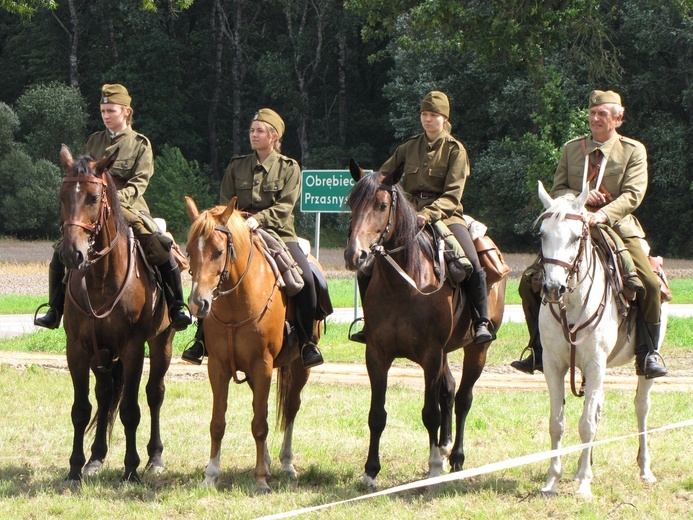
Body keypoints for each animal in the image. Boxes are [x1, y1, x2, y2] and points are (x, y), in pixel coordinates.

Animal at [58, 144, 174, 482]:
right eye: (62, 195)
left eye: (94, 197)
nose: (71, 253)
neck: (101, 278)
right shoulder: (78, 348)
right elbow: (82, 408)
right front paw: (75, 468)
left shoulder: (133, 347)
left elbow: (131, 410)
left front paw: (131, 469)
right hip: (104, 354)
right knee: (105, 393)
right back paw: (96, 458)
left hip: (162, 342)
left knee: (154, 393)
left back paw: (154, 457)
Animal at [184, 197, 314, 494]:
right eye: (188, 250)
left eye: (219, 251)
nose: (198, 303)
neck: (236, 303)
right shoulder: (218, 367)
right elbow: (218, 423)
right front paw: (211, 475)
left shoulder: (263, 364)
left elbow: (260, 424)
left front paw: (261, 479)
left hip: (300, 365)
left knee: (291, 407)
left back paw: (286, 463)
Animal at [344, 160, 506, 490]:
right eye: (351, 203)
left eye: (382, 205)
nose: (356, 254)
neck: (404, 284)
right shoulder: (376, 356)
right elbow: (376, 414)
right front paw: (370, 471)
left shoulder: (431, 356)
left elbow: (430, 412)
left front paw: (433, 467)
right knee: (450, 389)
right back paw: (443, 447)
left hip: (476, 351)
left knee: (463, 398)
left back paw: (455, 458)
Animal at [536, 181, 664, 498]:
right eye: (542, 234)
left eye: (575, 237)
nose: (553, 288)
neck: (572, 304)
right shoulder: (553, 365)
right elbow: (557, 422)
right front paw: (553, 480)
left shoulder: (595, 364)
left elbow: (585, 425)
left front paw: (584, 483)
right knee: (597, 410)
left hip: (642, 368)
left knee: (641, 408)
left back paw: (645, 470)